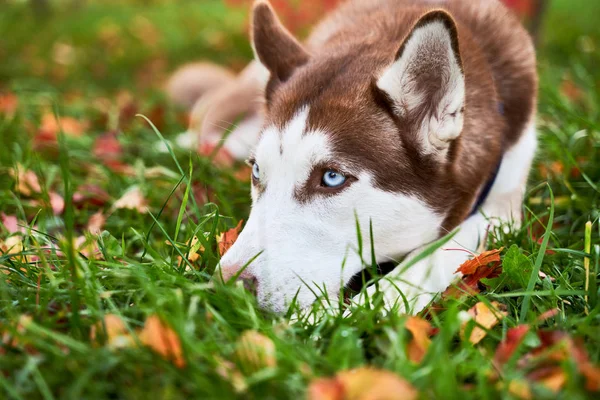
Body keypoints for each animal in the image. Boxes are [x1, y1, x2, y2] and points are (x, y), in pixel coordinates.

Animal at [170, 0, 540, 312]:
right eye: (258, 171)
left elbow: (438, 253)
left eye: (331, 178)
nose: (227, 285)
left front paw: (369, 306)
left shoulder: (503, 206)